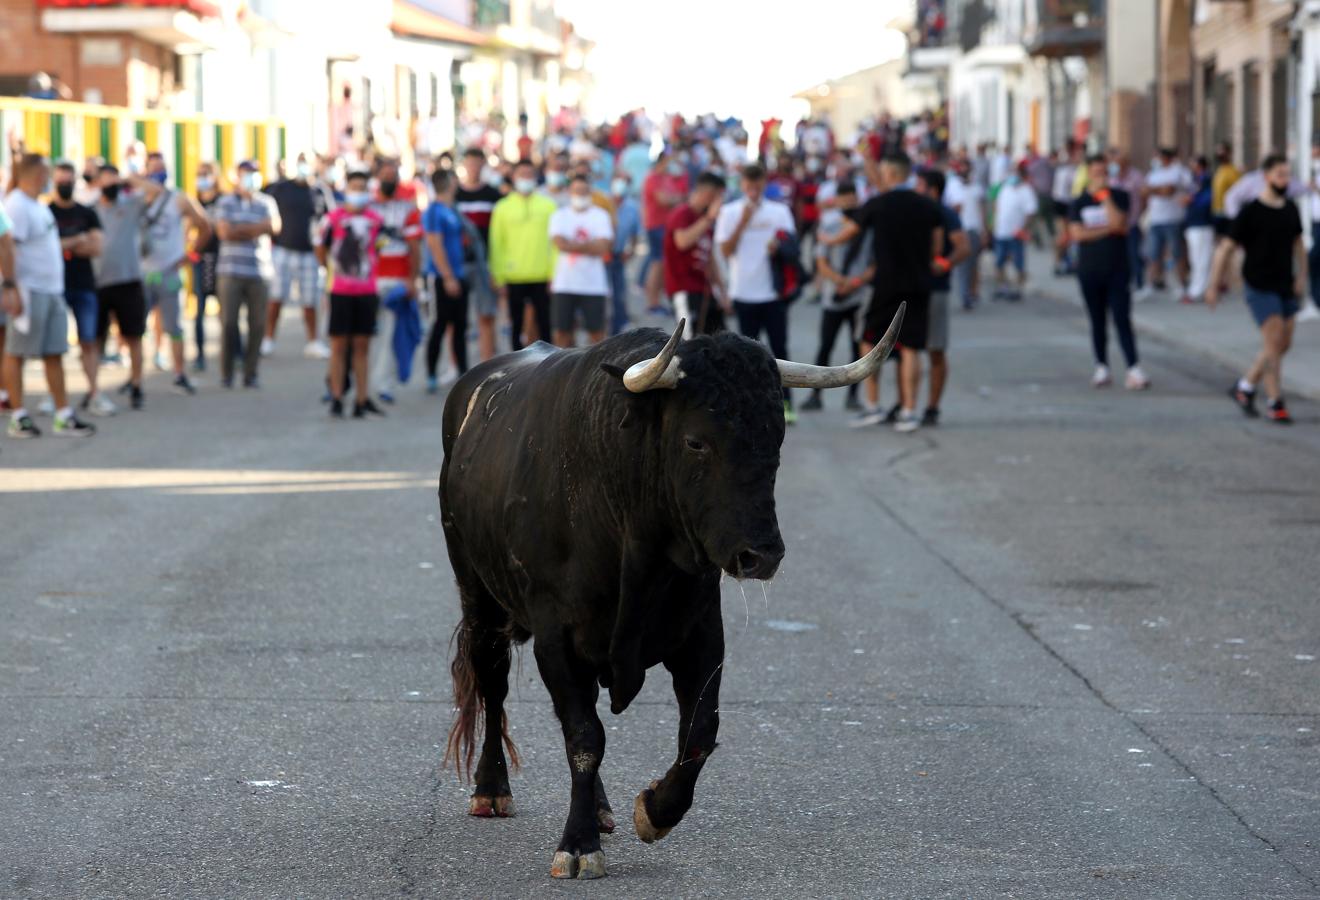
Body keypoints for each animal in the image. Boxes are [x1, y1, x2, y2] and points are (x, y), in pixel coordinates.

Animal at [438, 308, 902, 876]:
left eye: (776, 438)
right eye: (696, 442)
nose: (763, 555)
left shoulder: (702, 635)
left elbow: (698, 732)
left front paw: (654, 810)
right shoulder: (557, 639)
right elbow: (584, 736)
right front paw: (578, 845)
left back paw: (602, 807)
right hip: (478, 598)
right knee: (493, 683)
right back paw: (491, 790)